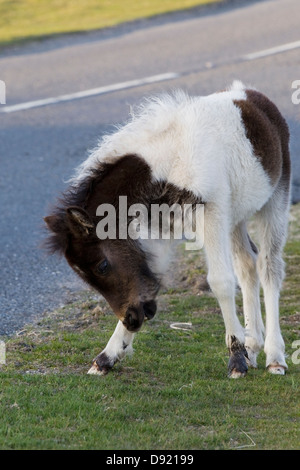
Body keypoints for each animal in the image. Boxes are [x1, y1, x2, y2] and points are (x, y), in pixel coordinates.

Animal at [44, 81, 290, 378]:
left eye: (102, 265)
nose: (133, 320)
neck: (168, 163)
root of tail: (251, 94)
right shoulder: (160, 228)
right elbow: (149, 280)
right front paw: (107, 357)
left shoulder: (212, 213)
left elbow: (220, 282)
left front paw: (236, 359)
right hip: (236, 216)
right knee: (247, 264)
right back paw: (252, 346)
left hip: (275, 198)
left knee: (268, 267)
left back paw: (274, 356)